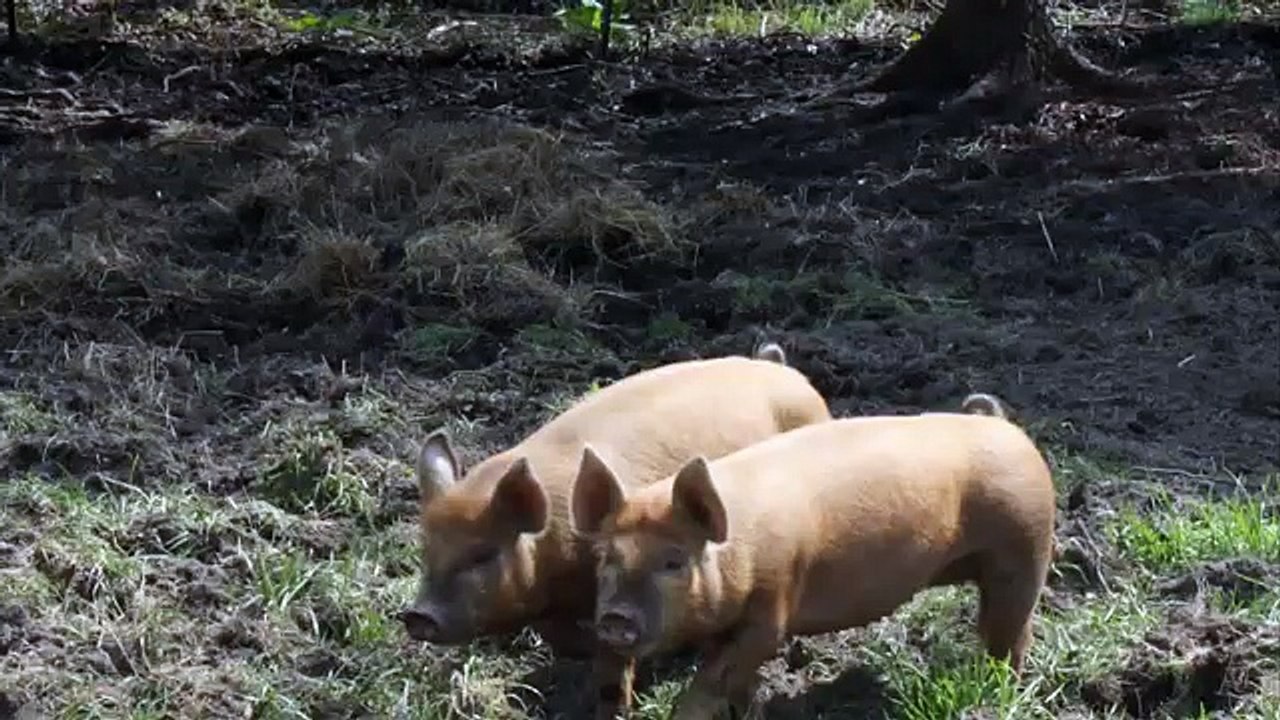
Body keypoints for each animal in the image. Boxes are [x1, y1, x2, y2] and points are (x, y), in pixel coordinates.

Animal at [570, 393, 1055, 720]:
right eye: (606, 557)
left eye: (673, 562)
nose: (614, 617)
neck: (737, 552)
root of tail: (1007, 427)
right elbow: (736, 685)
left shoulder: (772, 609)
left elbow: (715, 679)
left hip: (1024, 547)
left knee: (1012, 634)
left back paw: (997, 689)